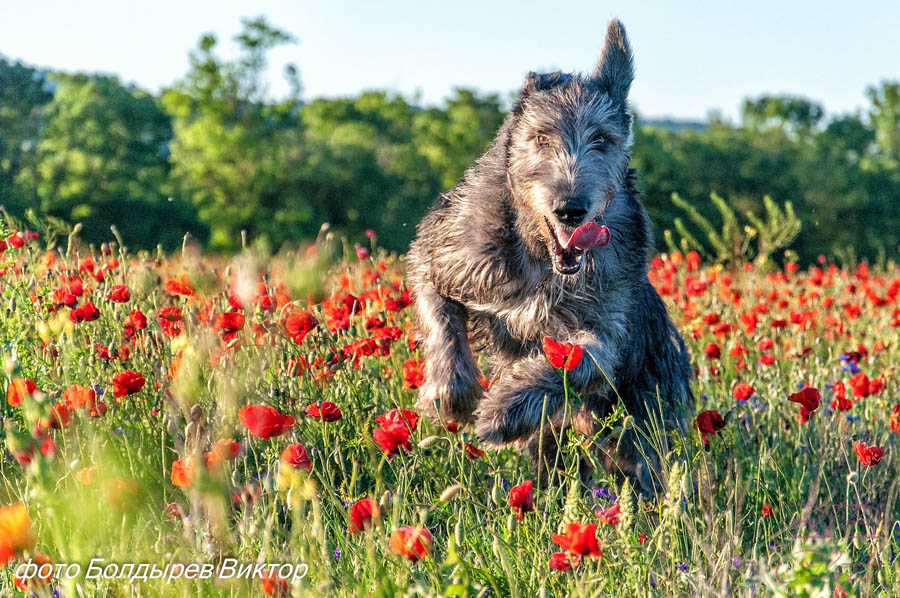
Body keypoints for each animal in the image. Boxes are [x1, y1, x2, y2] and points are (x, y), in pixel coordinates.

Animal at [404, 18, 692, 500]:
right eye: (541, 137)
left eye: (601, 139)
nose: (570, 209)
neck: (540, 257)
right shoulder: (445, 257)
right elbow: (440, 314)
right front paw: (452, 394)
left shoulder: (606, 323)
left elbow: (580, 358)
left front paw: (505, 409)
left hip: (646, 421)